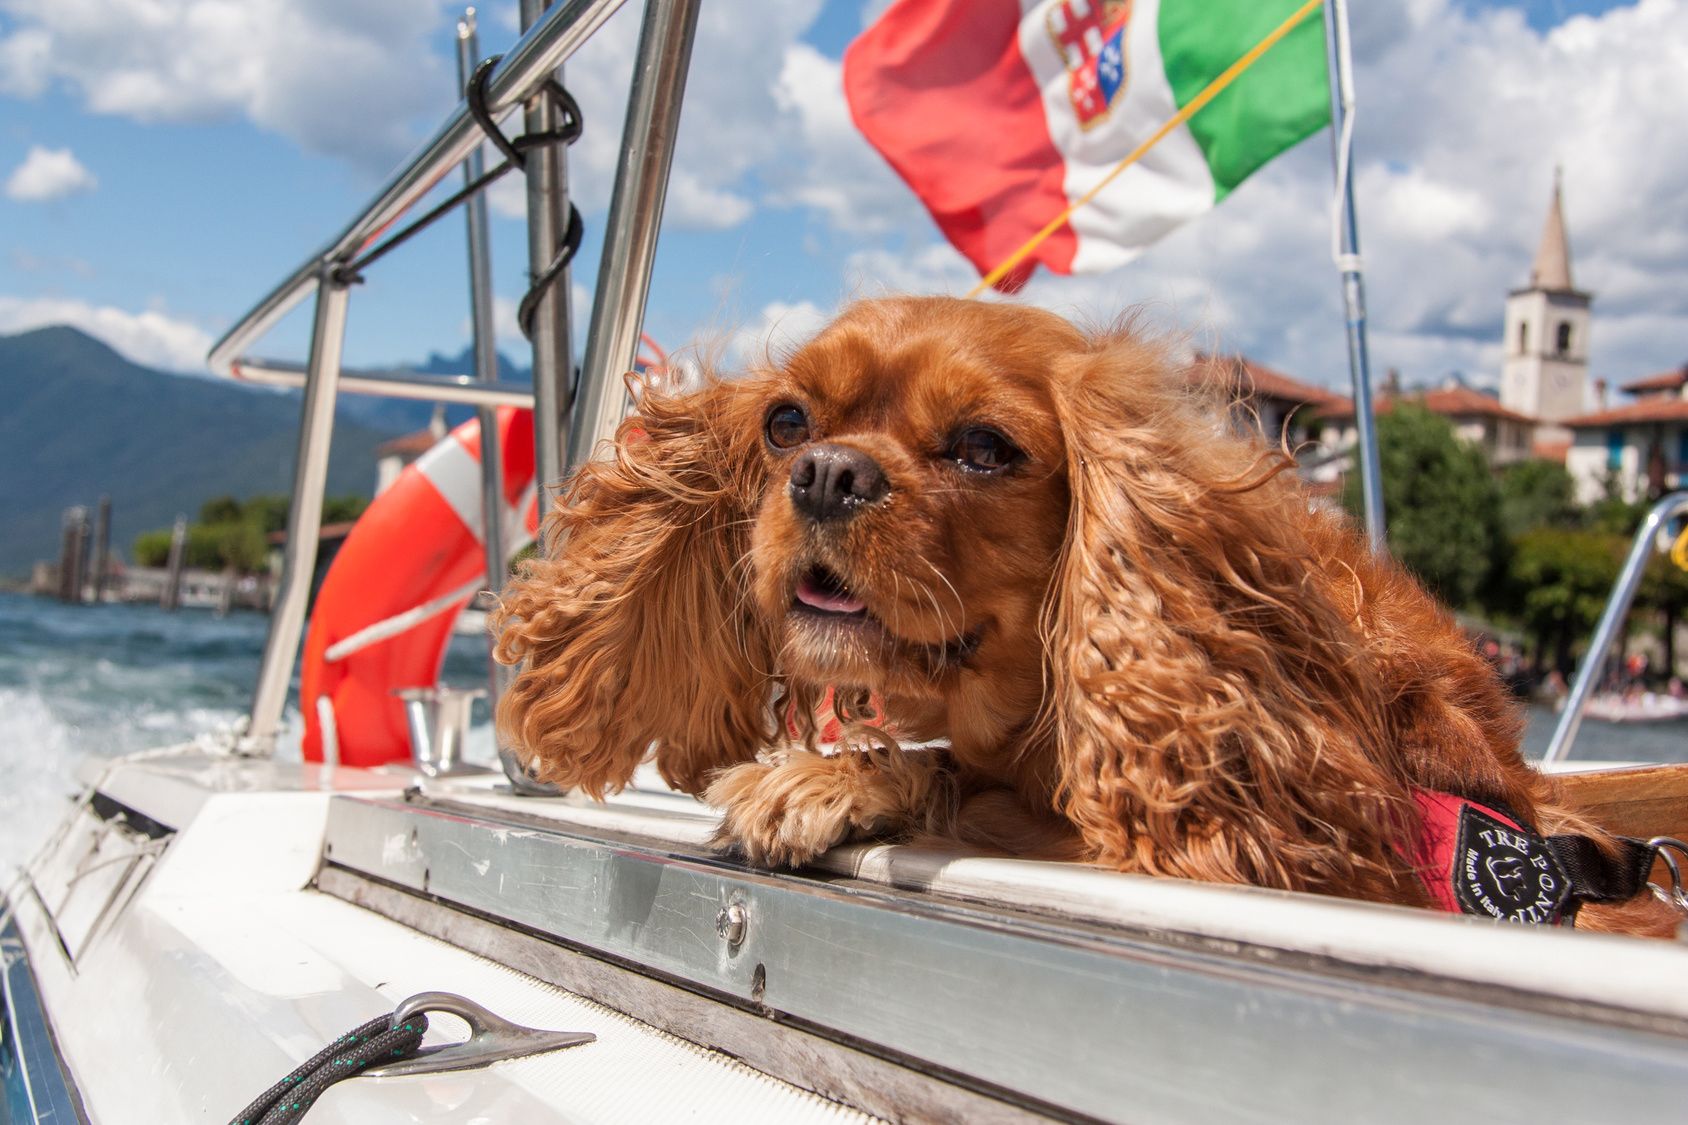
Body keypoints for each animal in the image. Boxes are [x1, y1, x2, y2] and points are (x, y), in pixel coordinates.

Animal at [492, 295, 1674, 925]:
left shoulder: (1289, 860)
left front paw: (818, 780)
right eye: (786, 423)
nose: (825, 473)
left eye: (983, 448)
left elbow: (978, 794)